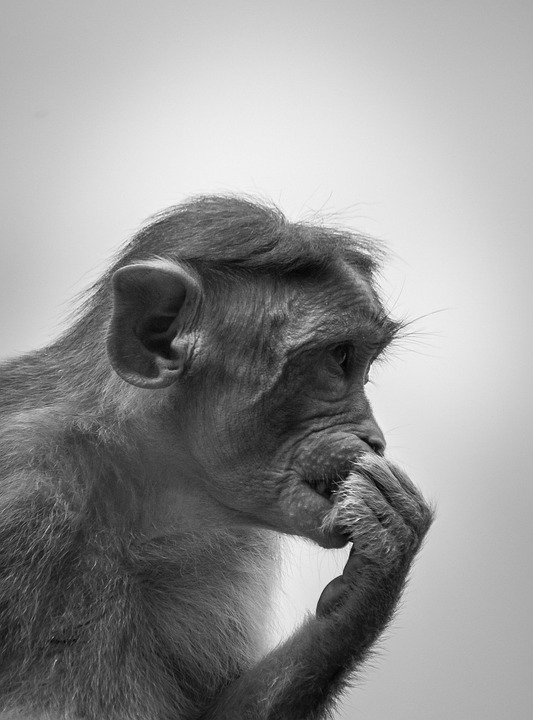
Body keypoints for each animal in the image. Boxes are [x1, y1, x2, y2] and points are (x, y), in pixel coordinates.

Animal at [0, 195, 433, 720]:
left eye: (362, 364)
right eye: (339, 357)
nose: (376, 440)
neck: (135, 483)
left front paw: (375, 566)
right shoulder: (24, 491)